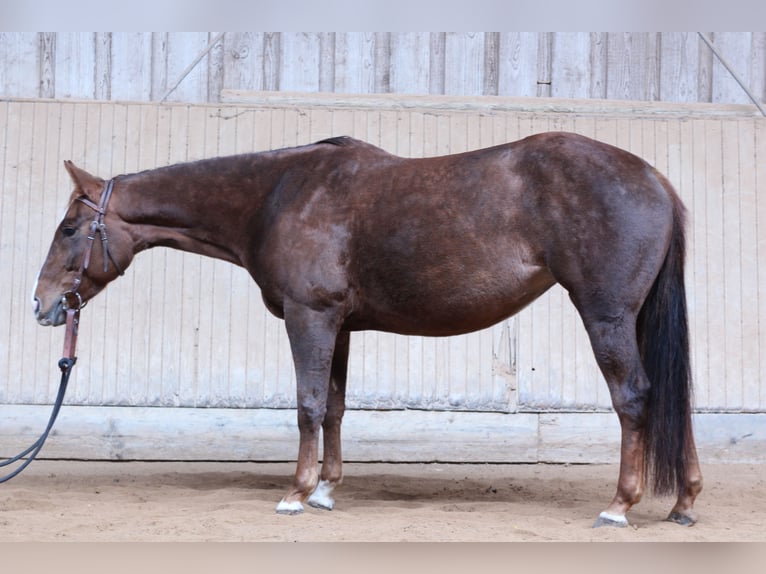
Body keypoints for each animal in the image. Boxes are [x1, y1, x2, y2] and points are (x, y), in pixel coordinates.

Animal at [32, 132, 702, 527]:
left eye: (69, 228)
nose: (41, 305)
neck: (275, 196)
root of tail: (656, 180)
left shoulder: (309, 316)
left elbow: (305, 404)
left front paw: (296, 494)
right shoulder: (341, 325)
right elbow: (333, 406)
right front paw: (327, 491)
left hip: (606, 315)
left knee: (635, 398)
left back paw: (619, 506)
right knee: (672, 399)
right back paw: (684, 502)